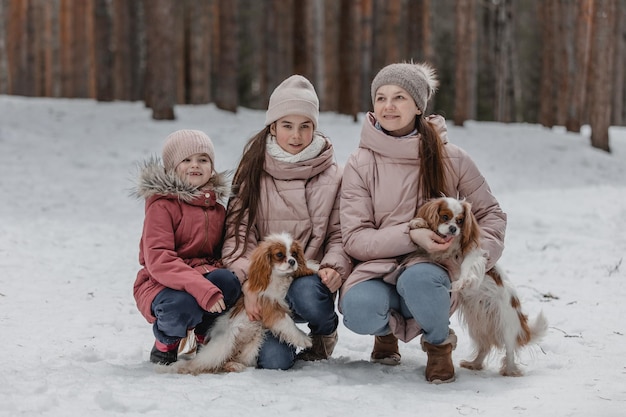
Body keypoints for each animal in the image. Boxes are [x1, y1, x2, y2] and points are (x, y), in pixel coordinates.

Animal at [166, 231, 314, 374]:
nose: (292, 261)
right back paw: (178, 368)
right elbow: (287, 323)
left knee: (227, 362)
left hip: (253, 346)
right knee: (199, 364)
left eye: (294, 254)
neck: (277, 278)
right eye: (279, 254)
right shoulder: (270, 307)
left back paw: (233, 365)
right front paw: (304, 339)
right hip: (222, 347)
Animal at [408, 197, 544, 376]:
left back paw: (509, 370)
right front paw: (418, 222)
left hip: (506, 325)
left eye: (460, 221)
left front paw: (461, 282)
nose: (453, 228)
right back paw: (475, 364)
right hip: (479, 326)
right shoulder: (435, 252)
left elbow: (467, 267)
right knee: (485, 347)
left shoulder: (473, 253)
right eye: (445, 217)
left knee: (509, 350)